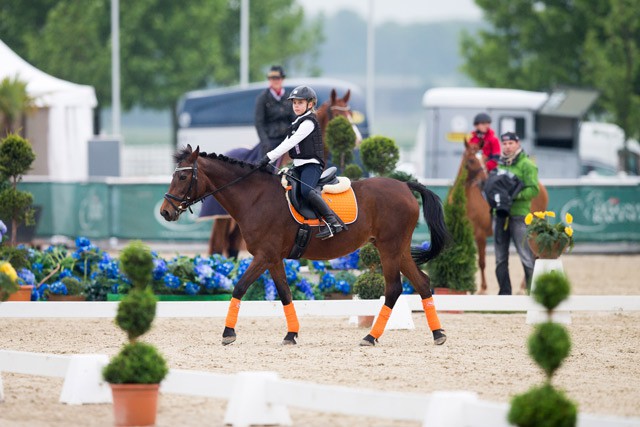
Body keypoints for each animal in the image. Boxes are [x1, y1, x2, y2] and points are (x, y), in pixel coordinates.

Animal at [161, 145, 450, 348]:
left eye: (184, 176)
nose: (165, 212)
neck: (255, 197)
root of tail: (404, 185)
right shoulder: (273, 258)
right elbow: (285, 294)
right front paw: (291, 334)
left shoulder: (264, 256)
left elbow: (240, 287)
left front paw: (228, 333)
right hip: (397, 249)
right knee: (422, 283)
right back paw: (437, 334)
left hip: (389, 249)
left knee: (393, 289)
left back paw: (371, 337)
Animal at [458, 142, 548, 296]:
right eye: (471, 160)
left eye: (484, 159)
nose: (483, 180)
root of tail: (541, 188)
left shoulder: (480, 234)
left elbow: (481, 262)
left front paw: (483, 288)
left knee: (532, 256)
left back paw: (524, 287)